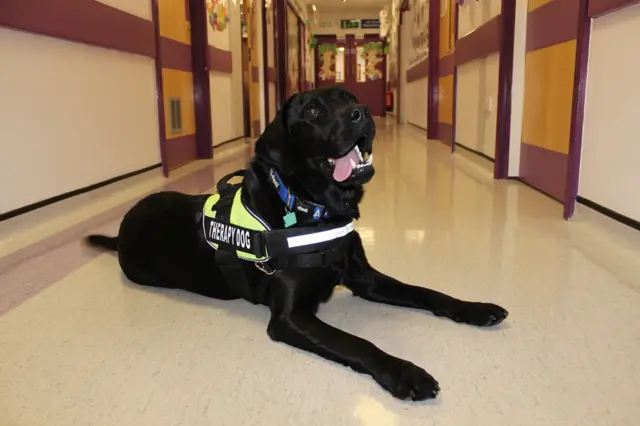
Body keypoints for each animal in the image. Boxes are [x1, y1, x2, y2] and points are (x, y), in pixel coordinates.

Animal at [86, 88, 504, 402]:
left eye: (349, 96)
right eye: (314, 110)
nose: (362, 112)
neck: (313, 208)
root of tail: (121, 229)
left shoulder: (365, 279)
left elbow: (427, 292)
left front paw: (474, 308)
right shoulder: (289, 318)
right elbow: (358, 343)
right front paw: (405, 373)